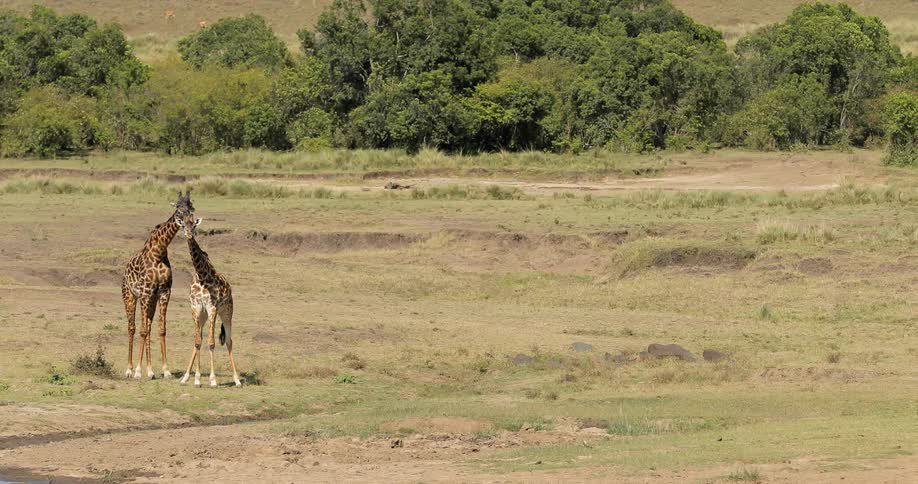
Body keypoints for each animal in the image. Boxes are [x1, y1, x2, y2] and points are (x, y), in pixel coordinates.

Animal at [121, 191, 195, 379]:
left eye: (192, 209)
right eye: (178, 210)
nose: (189, 227)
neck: (159, 252)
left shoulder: (164, 292)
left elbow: (161, 329)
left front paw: (165, 370)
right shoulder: (145, 292)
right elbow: (141, 330)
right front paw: (137, 372)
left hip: (151, 301)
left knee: (147, 327)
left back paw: (150, 370)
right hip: (130, 296)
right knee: (132, 328)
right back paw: (130, 369)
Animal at [178, 216, 241, 387]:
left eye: (194, 225)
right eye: (183, 224)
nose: (189, 234)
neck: (202, 275)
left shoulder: (212, 307)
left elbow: (211, 343)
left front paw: (212, 380)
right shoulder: (196, 308)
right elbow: (197, 342)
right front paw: (196, 379)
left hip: (226, 311)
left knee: (229, 341)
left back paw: (237, 379)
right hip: (203, 316)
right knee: (199, 339)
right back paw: (185, 377)